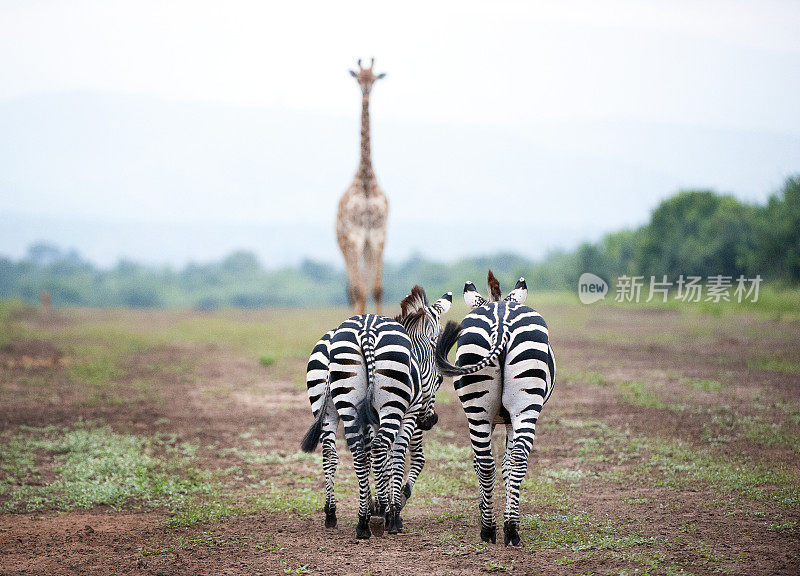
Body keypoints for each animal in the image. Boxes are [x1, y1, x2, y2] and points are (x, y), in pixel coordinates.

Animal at [302, 288, 450, 540]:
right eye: (439, 380)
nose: (430, 420)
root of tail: (367, 330)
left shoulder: (371, 418)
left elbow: (377, 458)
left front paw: (377, 504)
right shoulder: (406, 414)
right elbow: (396, 458)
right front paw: (390, 509)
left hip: (333, 406)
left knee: (341, 453)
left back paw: (342, 516)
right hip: (390, 406)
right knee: (379, 448)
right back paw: (381, 520)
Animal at [438, 272, 556, 548]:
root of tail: (501, 319)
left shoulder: (502, 419)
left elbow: (494, 464)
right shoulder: (508, 419)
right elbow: (504, 464)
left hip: (485, 410)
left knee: (490, 461)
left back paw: (492, 529)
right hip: (521, 407)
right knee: (510, 460)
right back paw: (506, 529)